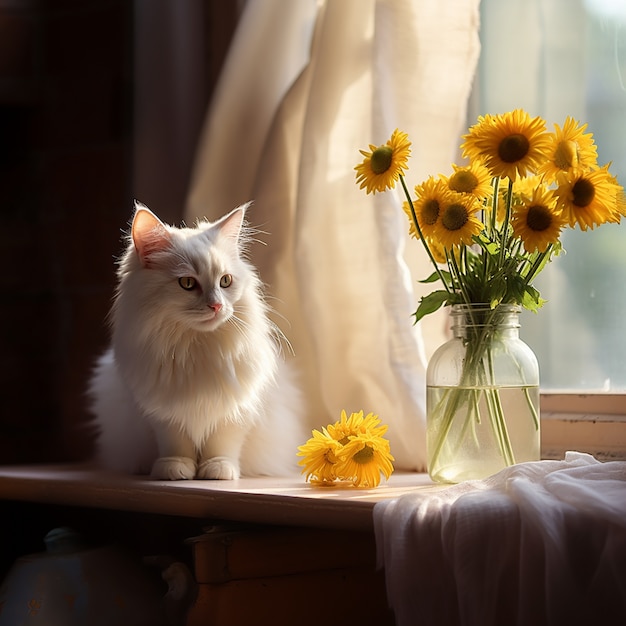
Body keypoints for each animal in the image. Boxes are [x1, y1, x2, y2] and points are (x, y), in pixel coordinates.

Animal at [87, 200, 302, 478]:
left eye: (225, 281)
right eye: (187, 283)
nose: (216, 306)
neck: (195, 348)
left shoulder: (236, 408)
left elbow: (222, 444)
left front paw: (218, 470)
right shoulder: (163, 412)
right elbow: (176, 444)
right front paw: (174, 469)